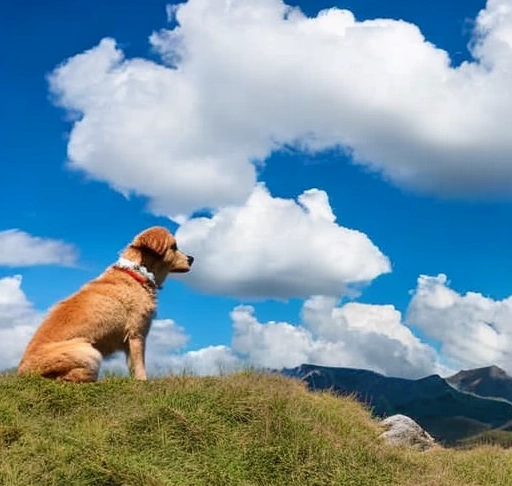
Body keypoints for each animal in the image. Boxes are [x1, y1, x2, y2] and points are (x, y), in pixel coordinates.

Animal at [17, 228, 194, 384]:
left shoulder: (130, 341)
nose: (192, 258)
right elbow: (140, 366)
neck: (137, 274)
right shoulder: (137, 333)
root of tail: (21, 371)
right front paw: (143, 382)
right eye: (174, 246)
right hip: (88, 351)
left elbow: (132, 366)